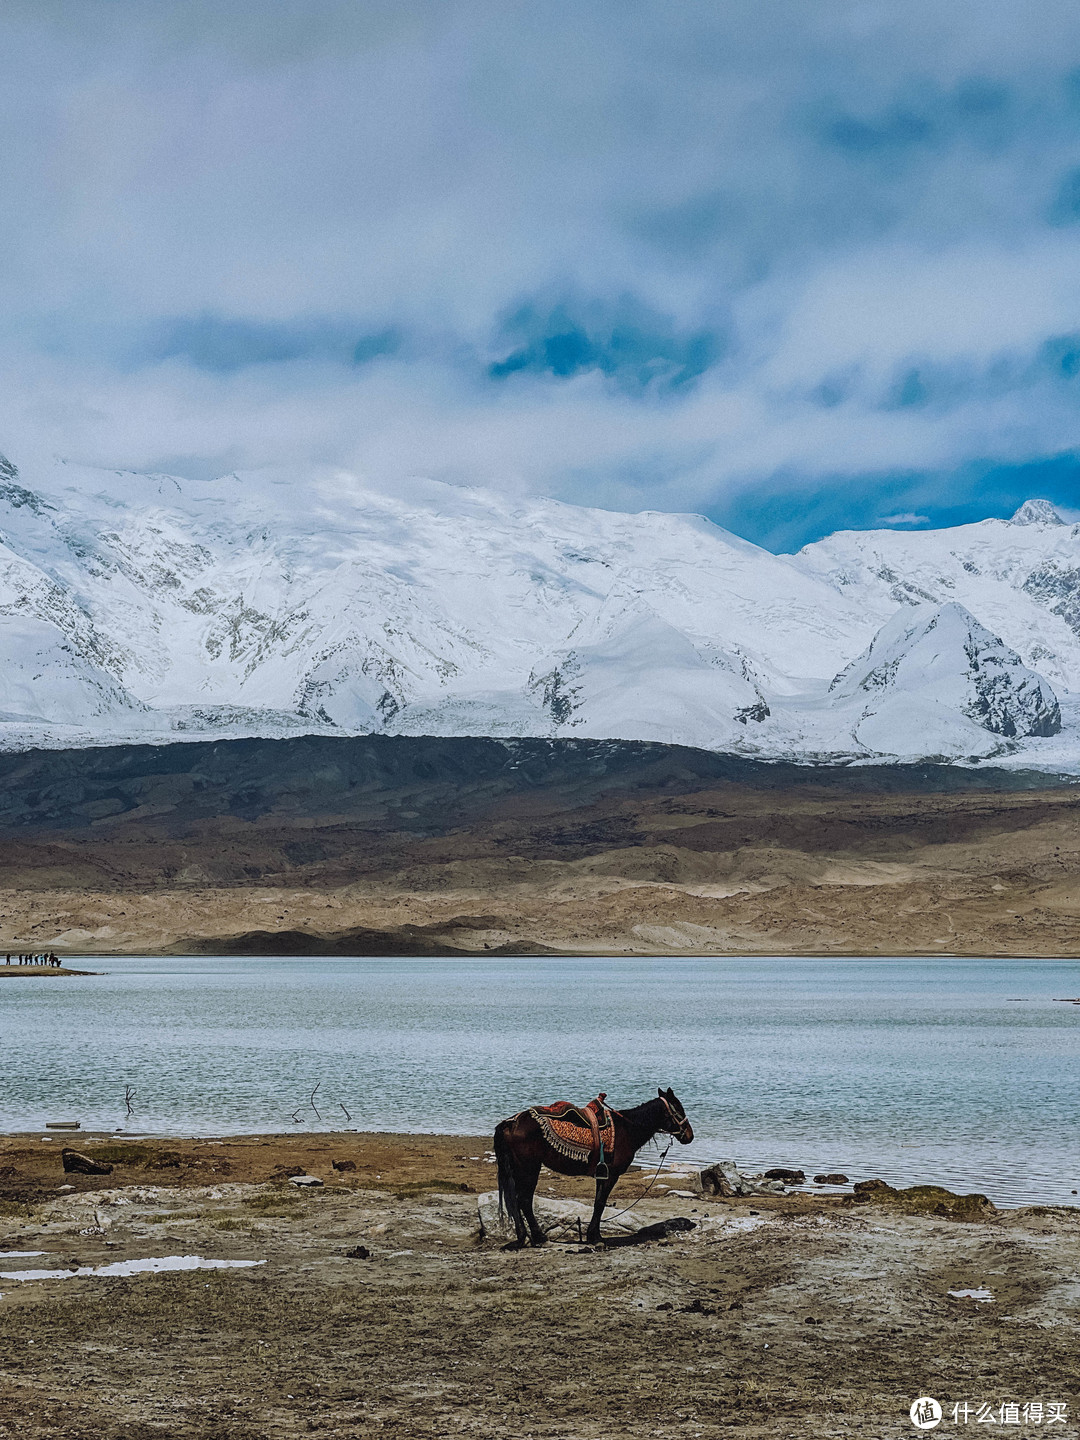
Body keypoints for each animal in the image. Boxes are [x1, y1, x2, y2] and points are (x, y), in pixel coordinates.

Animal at [498, 1082, 696, 1244]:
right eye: (679, 1108)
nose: (690, 1136)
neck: (627, 1129)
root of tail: (510, 1122)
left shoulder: (602, 1174)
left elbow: (597, 1203)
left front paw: (593, 1235)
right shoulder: (611, 1174)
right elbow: (601, 1203)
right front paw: (595, 1238)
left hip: (518, 1169)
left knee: (516, 1201)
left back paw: (524, 1236)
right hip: (529, 1168)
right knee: (524, 1201)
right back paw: (539, 1238)